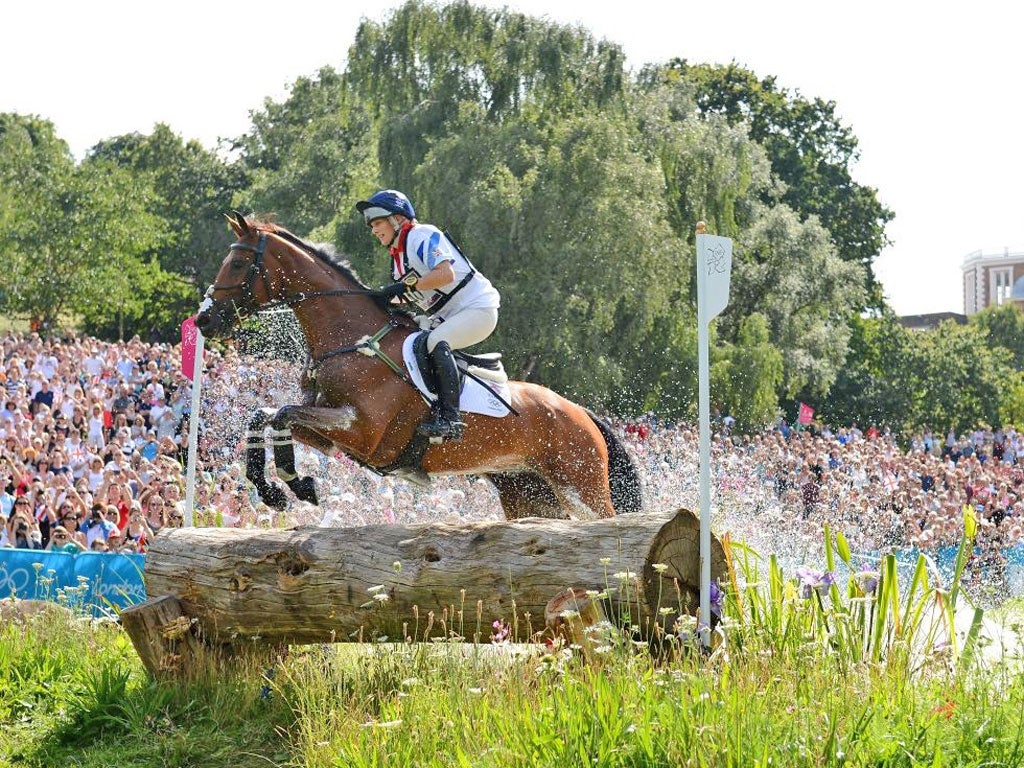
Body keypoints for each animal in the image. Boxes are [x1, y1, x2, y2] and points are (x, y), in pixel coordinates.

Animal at [193, 214, 638, 520]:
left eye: (237, 264)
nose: (203, 320)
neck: (351, 340)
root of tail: (581, 413)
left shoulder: (361, 430)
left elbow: (282, 413)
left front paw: (293, 484)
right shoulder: (330, 433)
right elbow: (265, 415)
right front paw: (279, 487)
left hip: (581, 487)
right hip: (528, 493)